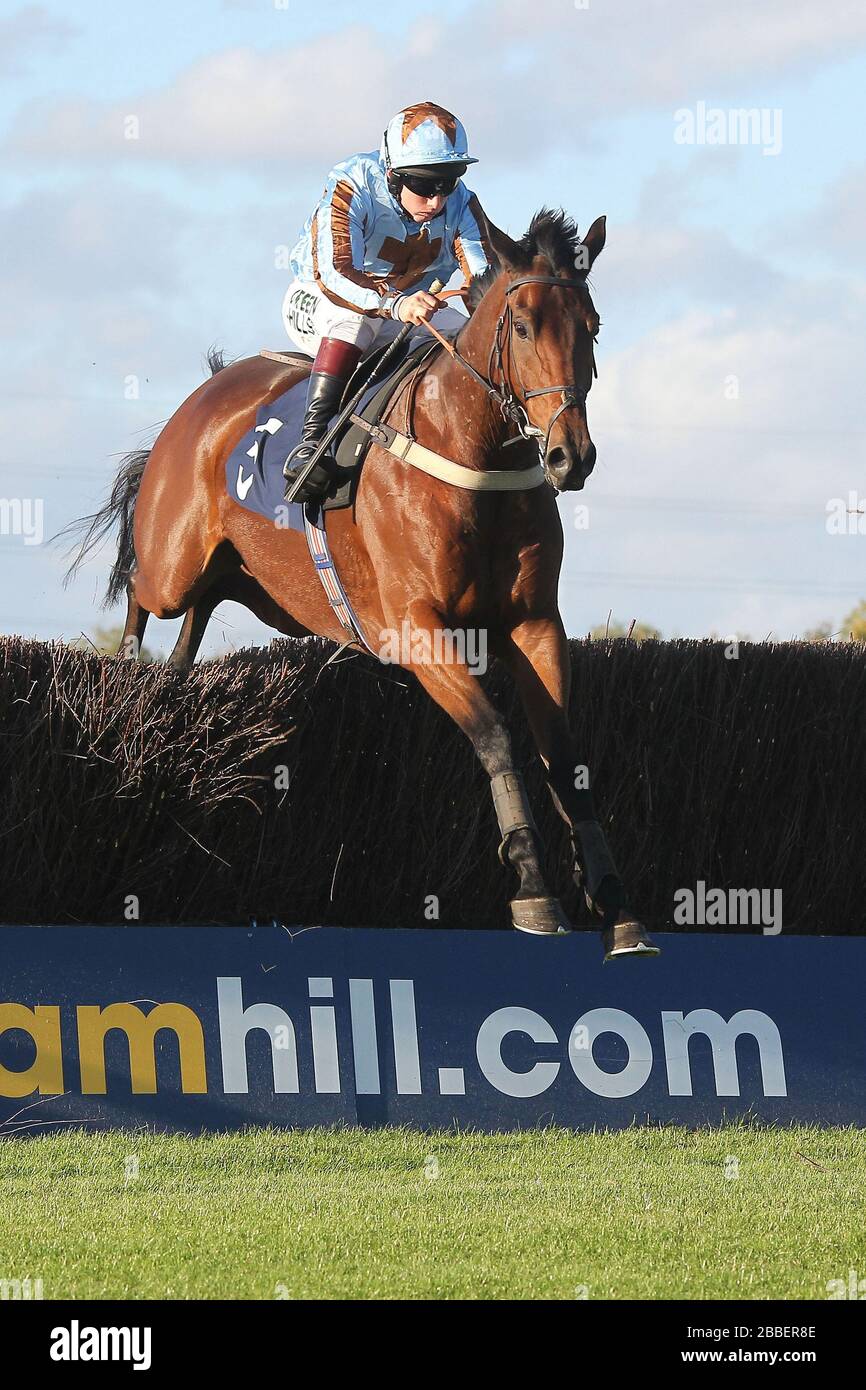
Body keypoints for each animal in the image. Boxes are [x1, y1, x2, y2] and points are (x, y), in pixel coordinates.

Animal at [67, 211, 661, 961]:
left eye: (593, 325)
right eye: (523, 325)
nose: (569, 456)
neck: (471, 452)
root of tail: (202, 397)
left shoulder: (534, 624)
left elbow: (566, 757)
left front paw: (617, 904)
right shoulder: (414, 627)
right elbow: (497, 737)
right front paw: (532, 887)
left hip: (246, 580)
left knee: (195, 617)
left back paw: (167, 689)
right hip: (174, 561)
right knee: (144, 594)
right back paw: (126, 691)